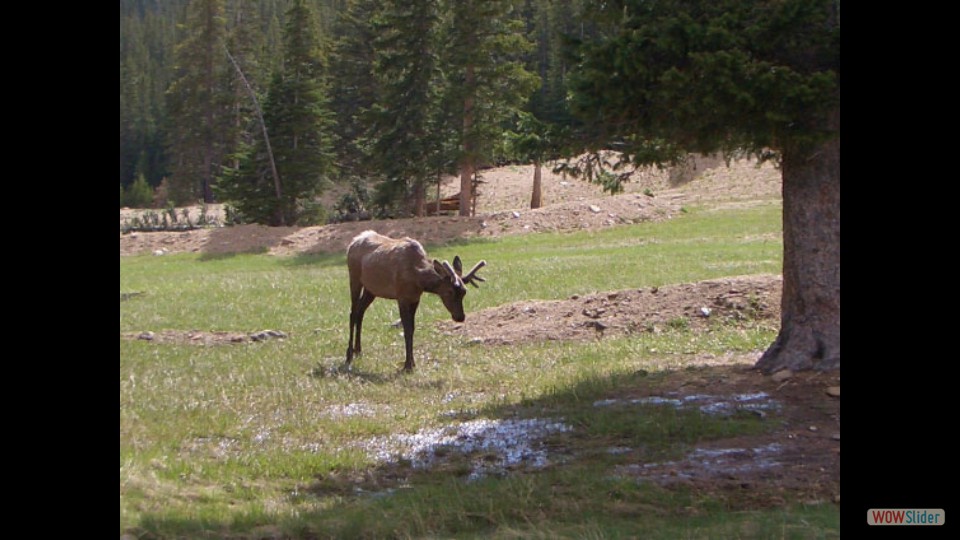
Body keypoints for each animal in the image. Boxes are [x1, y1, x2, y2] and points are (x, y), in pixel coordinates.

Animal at [344, 230, 488, 374]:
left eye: (464, 291)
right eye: (449, 292)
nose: (460, 317)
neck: (417, 279)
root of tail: (352, 242)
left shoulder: (415, 299)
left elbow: (412, 328)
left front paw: (412, 363)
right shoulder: (402, 297)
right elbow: (407, 329)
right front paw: (407, 365)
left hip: (371, 289)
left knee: (360, 312)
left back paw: (358, 350)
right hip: (354, 277)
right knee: (352, 312)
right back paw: (349, 355)